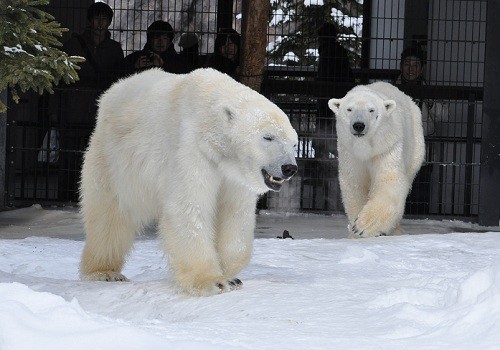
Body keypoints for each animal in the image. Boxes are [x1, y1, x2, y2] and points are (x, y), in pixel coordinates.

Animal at [78, 67, 296, 296]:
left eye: (294, 144)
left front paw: (229, 273)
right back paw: (105, 272)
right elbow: (189, 207)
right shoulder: (191, 147)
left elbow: (235, 213)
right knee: (108, 215)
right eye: (268, 137)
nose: (289, 168)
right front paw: (214, 281)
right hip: (112, 160)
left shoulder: (234, 175)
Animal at [328, 81, 426, 238]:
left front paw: (363, 226)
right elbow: (355, 184)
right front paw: (354, 231)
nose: (359, 125)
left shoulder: (386, 147)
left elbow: (389, 180)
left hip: (415, 146)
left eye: (371, 110)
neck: (366, 148)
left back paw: (395, 230)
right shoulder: (350, 153)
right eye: (349, 109)